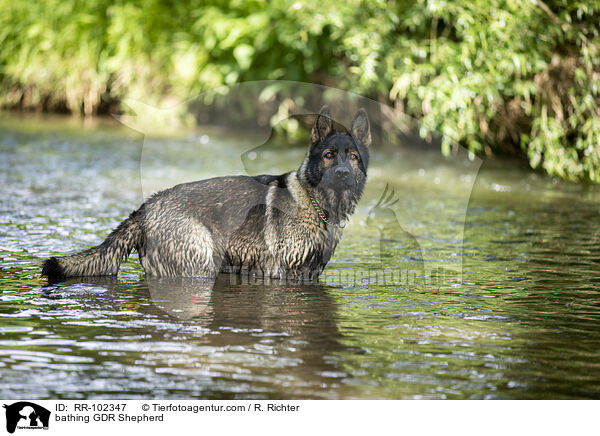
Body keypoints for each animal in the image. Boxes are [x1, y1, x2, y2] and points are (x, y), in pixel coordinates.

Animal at [41, 107, 370, 282]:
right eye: (328, 155)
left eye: (353, 157)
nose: (342, 174)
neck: (315, 205)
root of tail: (146, 208)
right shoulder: (284, 274)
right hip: (198, 265)